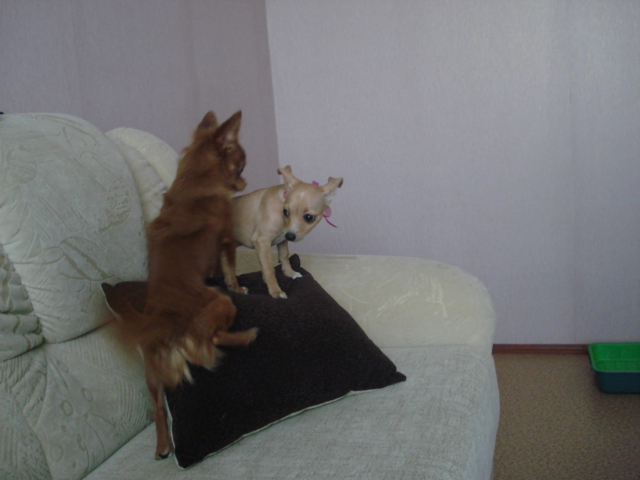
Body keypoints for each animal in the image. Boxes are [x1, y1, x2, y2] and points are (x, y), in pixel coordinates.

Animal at [109, 110, 256, 460]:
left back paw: (162, 446)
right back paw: (245, 336)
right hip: (219, 303)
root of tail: (164, 319)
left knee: (159, 408)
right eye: (241, 167)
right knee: (212, 338)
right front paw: (239, 285)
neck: (195, 181)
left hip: (151, 375)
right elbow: (229, 269)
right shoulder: (226, 239)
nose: (245, 183)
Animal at [232, 166, 343, 298]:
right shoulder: (261, 241)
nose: (290, 236)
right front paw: (275, 291)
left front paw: (290, 273)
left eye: (309, 217)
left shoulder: (282, 240)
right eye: (285, 211)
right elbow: (269, 268)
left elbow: (284, 257)